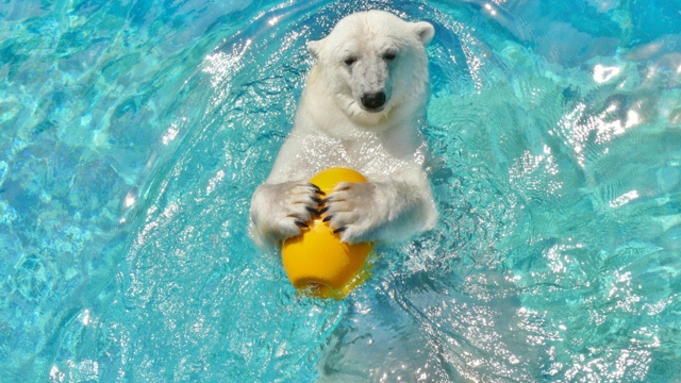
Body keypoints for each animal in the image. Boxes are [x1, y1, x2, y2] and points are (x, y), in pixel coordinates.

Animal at [250, 10, 436, 250]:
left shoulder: (401, 137)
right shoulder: (316, 135)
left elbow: (416, 193)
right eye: (349, 59)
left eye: (390, 54)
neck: (358, 126)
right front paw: (291, 200)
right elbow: (279, 180)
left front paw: (353, 205)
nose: (373, 97)